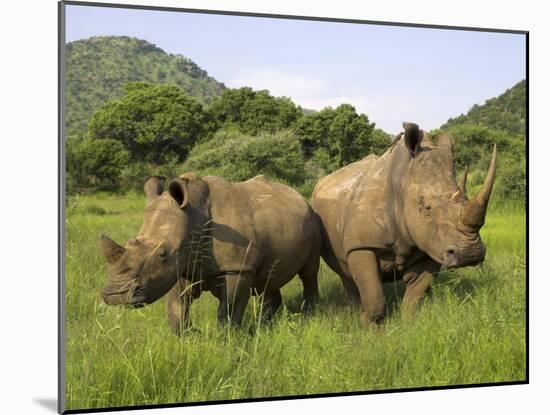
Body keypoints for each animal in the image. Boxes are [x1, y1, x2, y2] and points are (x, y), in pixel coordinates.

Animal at [101, 172, 322, 334]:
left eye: (162, 254)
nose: (115, 296)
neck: (193, 216)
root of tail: (300, 197)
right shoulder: (183, 264)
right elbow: (176, 308)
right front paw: (193, 334)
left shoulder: (237, 267)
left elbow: (229, 309)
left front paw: (227, 339)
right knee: (267, 280)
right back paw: (264, 324)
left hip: (313, 221)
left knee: (309, 272)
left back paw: (308, 315)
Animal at [312, 123, 498, 328]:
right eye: (427, 208)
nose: (470, 254)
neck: (402, 185)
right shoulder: (361, 245)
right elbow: (374, 296)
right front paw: (367, 326)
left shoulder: (431, 245)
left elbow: (415, 296)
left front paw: (409, 325)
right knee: (344, 272)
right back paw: (355, 309)